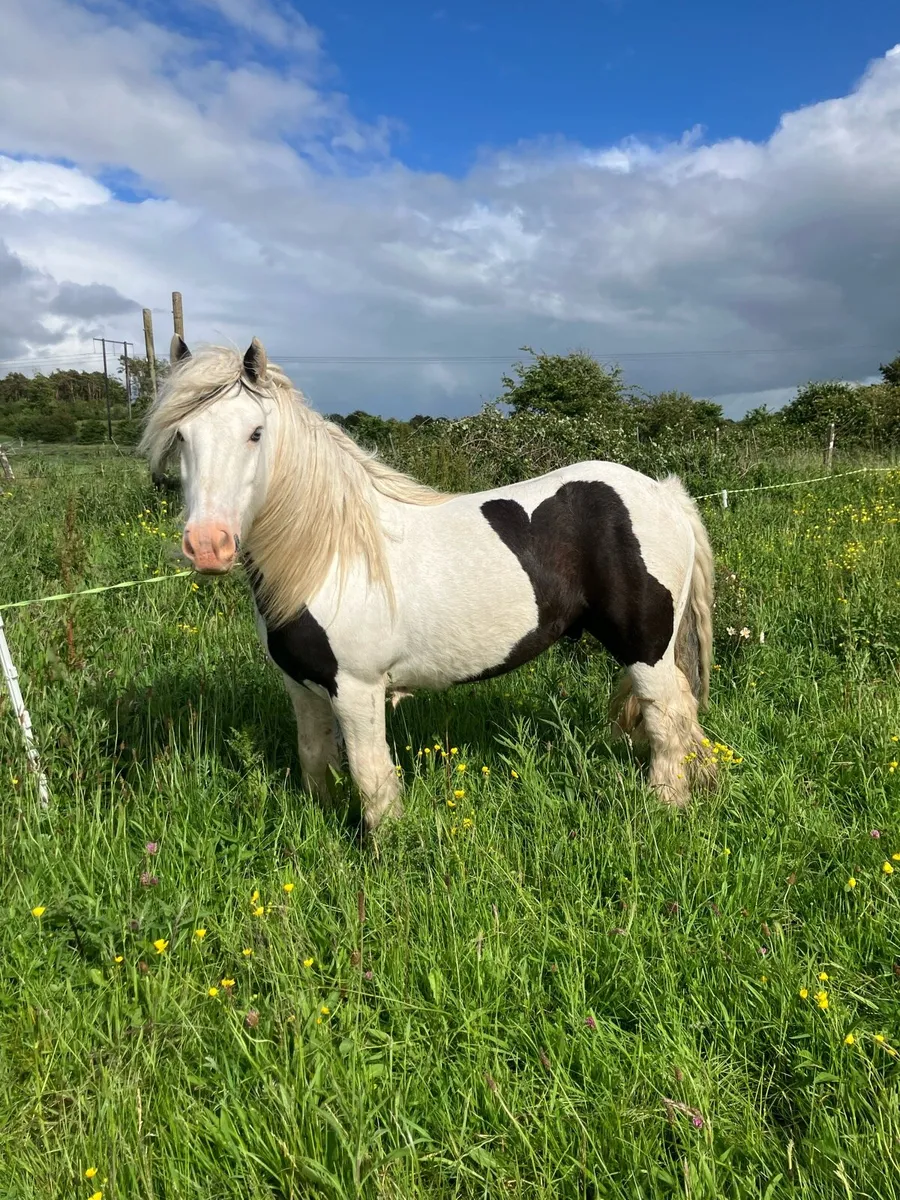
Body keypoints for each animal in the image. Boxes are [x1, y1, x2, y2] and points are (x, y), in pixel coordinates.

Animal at [140, 336, 717, 832]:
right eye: (181, 436)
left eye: (255, 433)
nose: (208, 545)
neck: (329, 556)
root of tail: (664, 493)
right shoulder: (301, 686)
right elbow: (315, 758)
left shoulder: (358, 689)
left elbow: (372, 777)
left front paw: (383, 851)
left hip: (644, 648)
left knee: (668, 718)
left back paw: (665, 806)